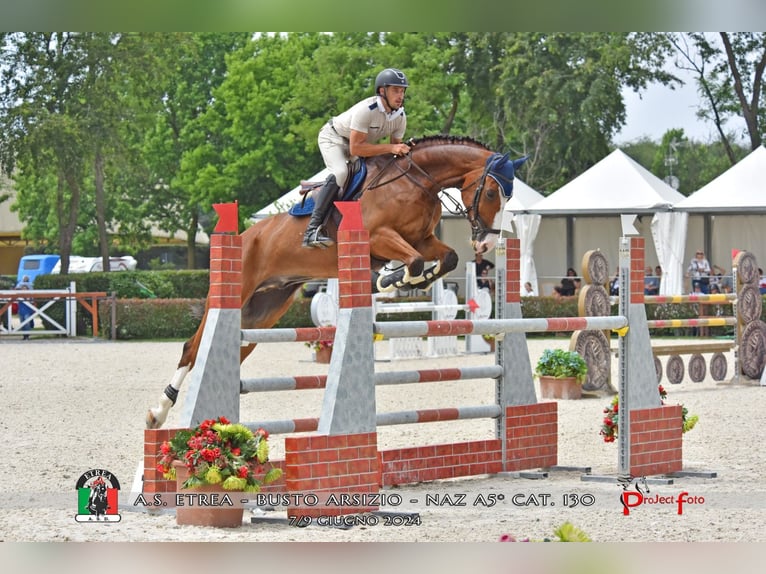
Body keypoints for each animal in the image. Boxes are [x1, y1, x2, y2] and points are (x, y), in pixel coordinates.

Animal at [146, 136, 524, 432]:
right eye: (492, 192)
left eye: (508, 196)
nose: (487, 244)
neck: (418, 181)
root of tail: (245, 235)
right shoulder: (379, 237)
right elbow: (414, 260)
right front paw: (390, 279)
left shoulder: (424, 239)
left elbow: (447, 259)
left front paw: (399, 278)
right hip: (236, 293)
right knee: (192, 349)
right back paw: (158, 413)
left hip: (264, 310)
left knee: (227, 351)